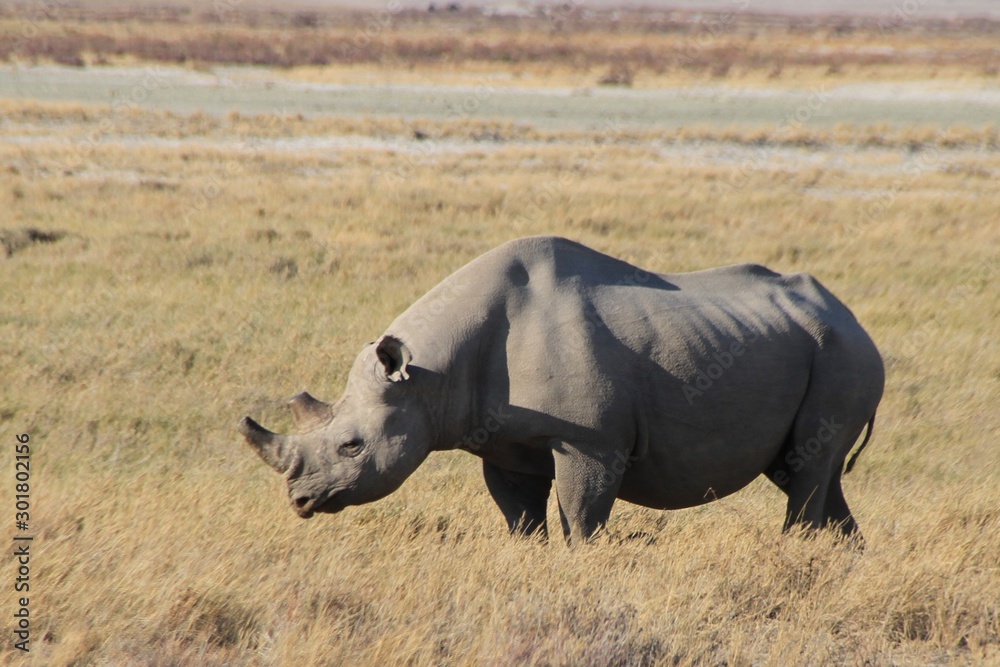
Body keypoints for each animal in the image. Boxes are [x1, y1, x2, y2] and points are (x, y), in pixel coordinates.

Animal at [240, 236, 884, 544]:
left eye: (352, 446)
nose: (299, 501)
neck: (429, 374)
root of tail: (854, 317)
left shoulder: (590, 441)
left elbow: (580, 517)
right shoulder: (501, 443)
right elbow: (519, 517)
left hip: (844, 356)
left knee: (808, 469)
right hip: (814, 345)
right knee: (808, 473)